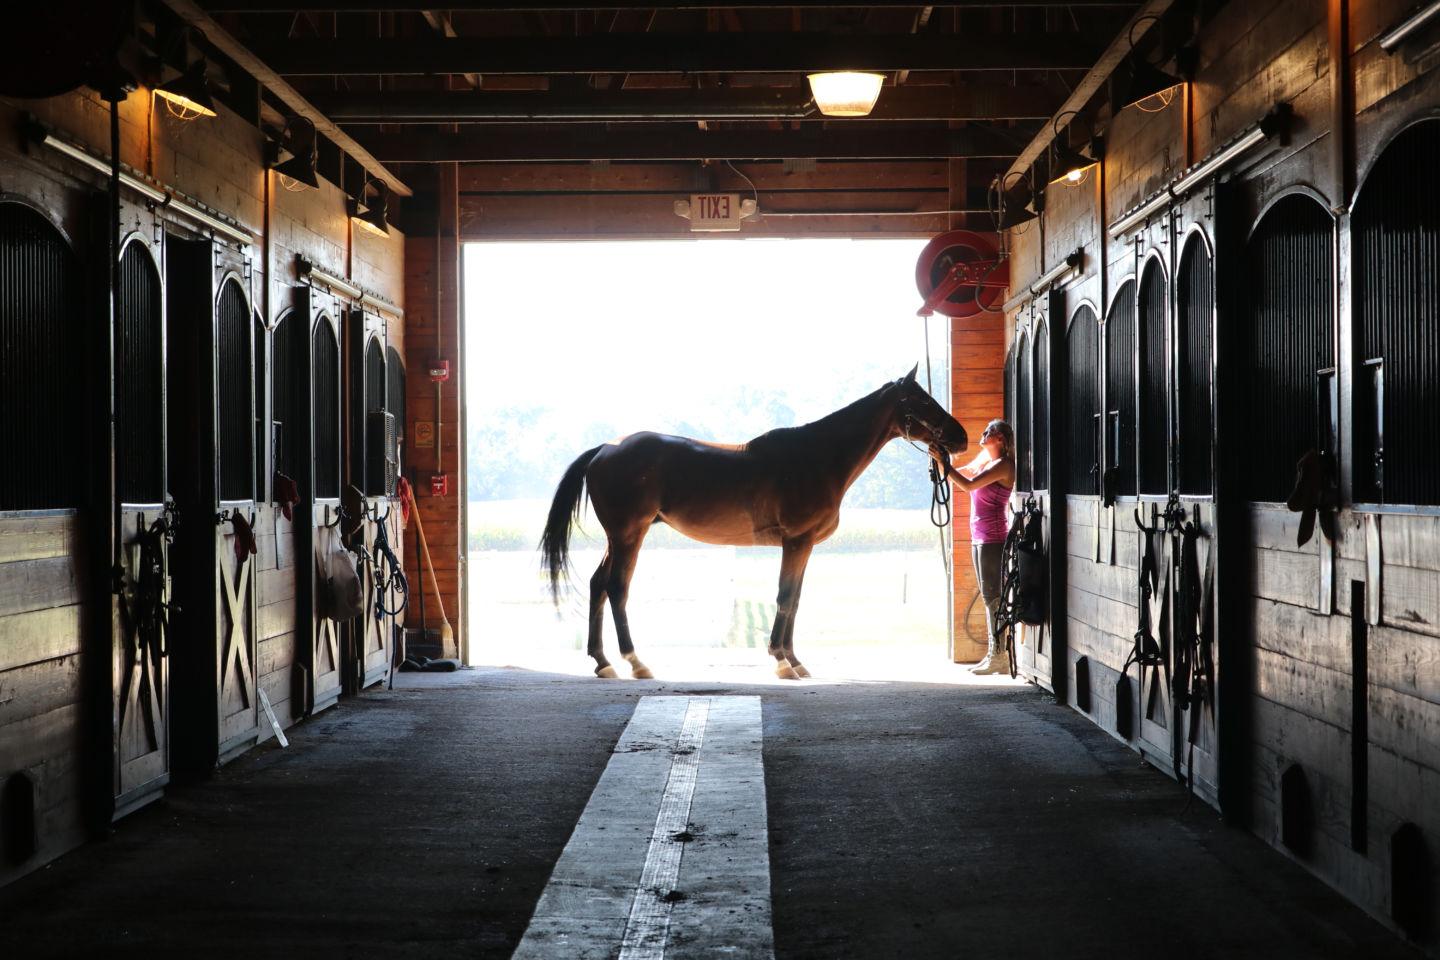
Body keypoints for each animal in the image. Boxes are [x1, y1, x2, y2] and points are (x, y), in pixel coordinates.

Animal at [541, 364, 967, 679]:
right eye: (921, 399)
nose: (960, 437)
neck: (818, 457)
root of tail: (605, 448)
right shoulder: (796, 540)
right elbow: (784, 596)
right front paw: (780, 661)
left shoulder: (804, 545)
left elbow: (795, 598)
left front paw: (794, 660)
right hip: (630, 534)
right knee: (616, 588)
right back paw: (635, 662)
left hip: (618, 537)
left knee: (598, 585)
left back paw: (603, 662)